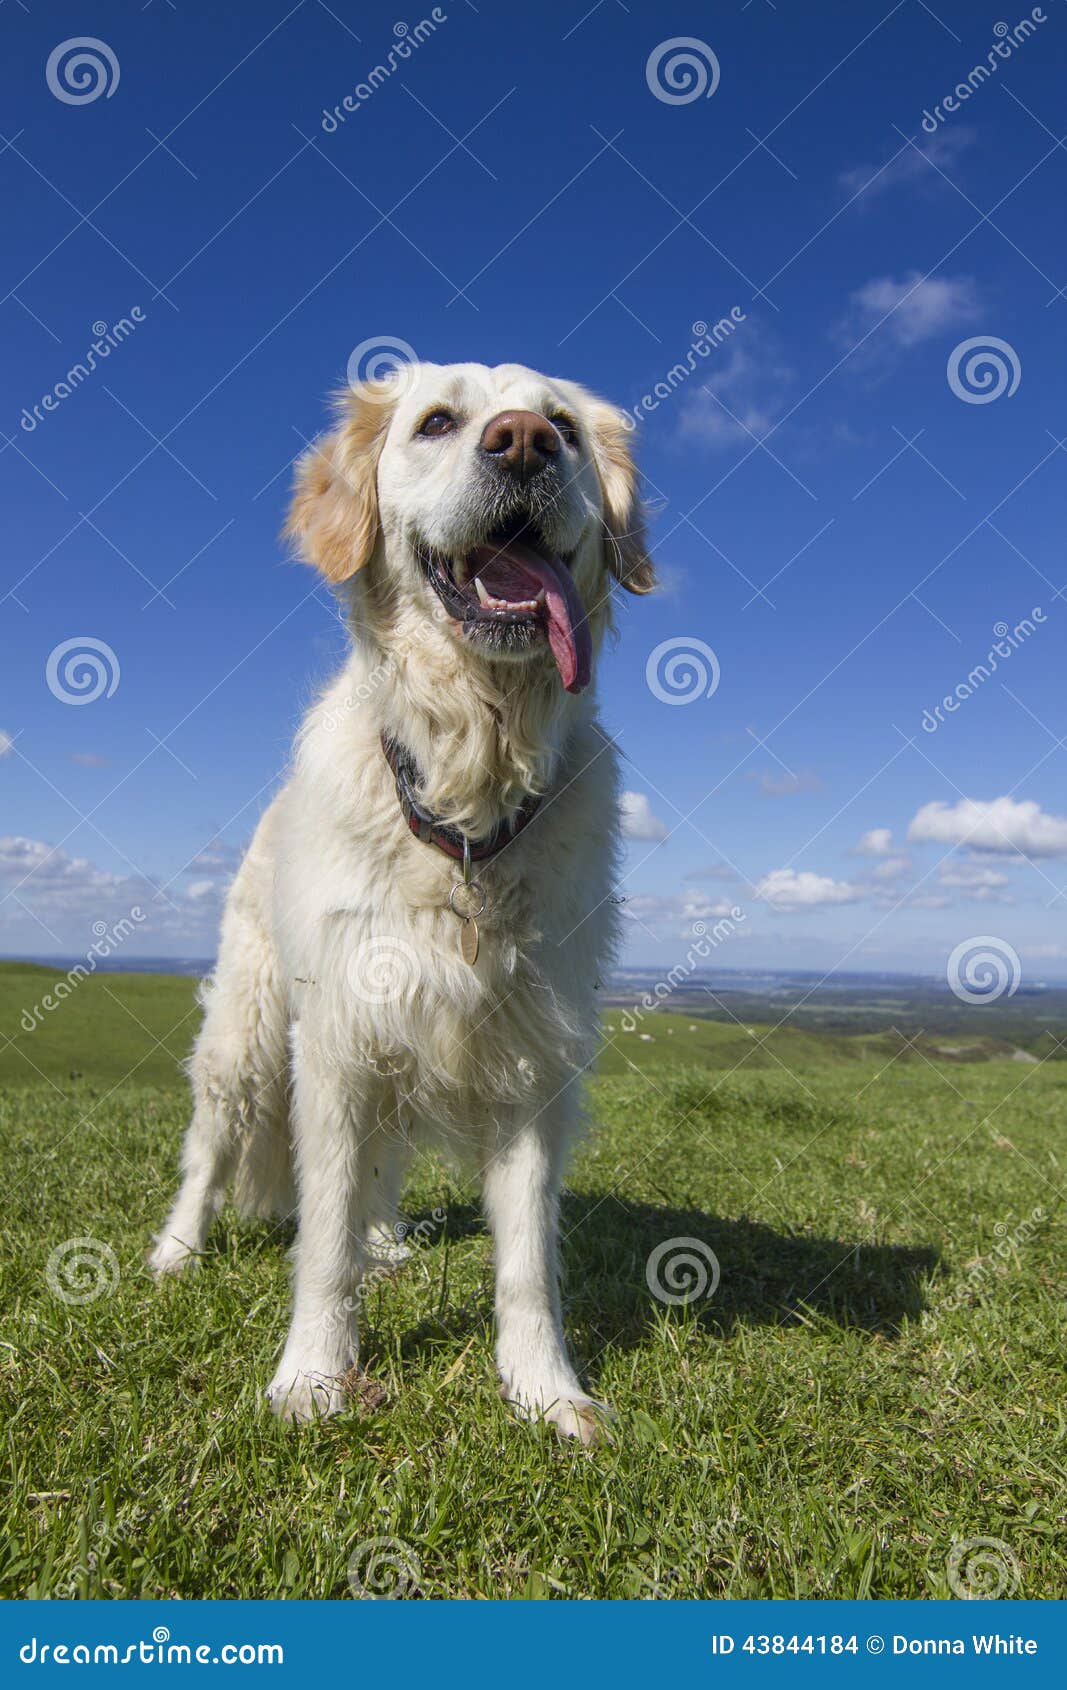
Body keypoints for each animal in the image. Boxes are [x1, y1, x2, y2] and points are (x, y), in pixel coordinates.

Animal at [149, 356, 652, 1439]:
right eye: (435, 423)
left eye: (561, 426)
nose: (522, 445)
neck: (468, 791)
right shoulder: (337, 1037)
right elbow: (320, 1239)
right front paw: (311, 1375)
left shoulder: (529, 1061)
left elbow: (525, 1261)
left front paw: (547, 1391)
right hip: (247, 1031)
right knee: (211, 1151)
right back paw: (174, 1252)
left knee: (375, 1173)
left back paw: (384, 1245)